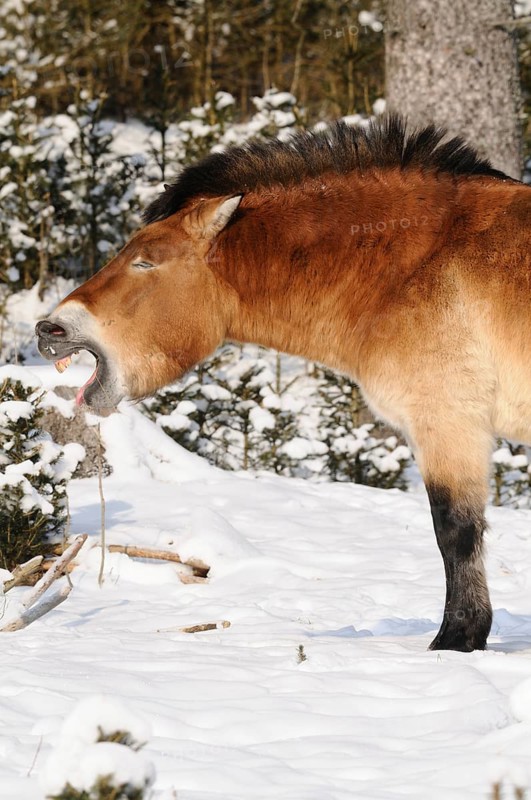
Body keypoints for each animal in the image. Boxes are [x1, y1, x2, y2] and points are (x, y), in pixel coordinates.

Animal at [36, 114, 531, 652]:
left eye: (145, 262)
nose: (49, 329)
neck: (415, 264)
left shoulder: (448, 423)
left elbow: (455, 532)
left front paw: (456, 639)